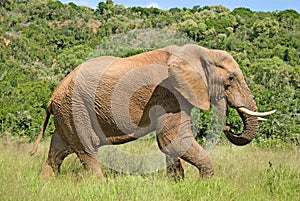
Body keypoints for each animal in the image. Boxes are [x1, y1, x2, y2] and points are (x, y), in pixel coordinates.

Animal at [31, 43, 276, 179]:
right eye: (231, 79)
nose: (229, 127)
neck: (201, 53)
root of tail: (52, 96)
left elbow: (172, 143)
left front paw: (178, 185)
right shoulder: (169, 93)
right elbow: (173, 140)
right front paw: (206, 183)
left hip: (67, 112)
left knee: (58, 149)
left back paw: (47, 183)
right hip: (75, 108)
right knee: (86, 146)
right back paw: (99, 185)